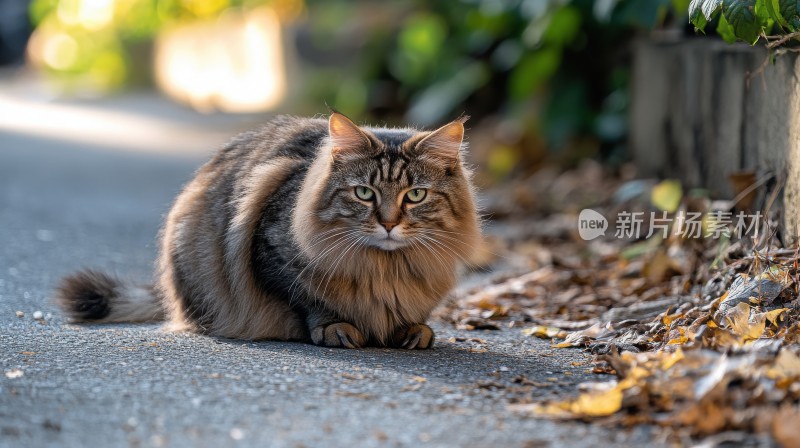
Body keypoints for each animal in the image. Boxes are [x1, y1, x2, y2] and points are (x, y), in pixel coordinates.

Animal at [57, 113, 482, 350]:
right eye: (364, 193)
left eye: (415, 195)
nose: (389, 223)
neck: (386, 268)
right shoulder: (272, 255)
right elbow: (312, 301)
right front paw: (335, 327)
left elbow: (415, 314)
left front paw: (413, 328)